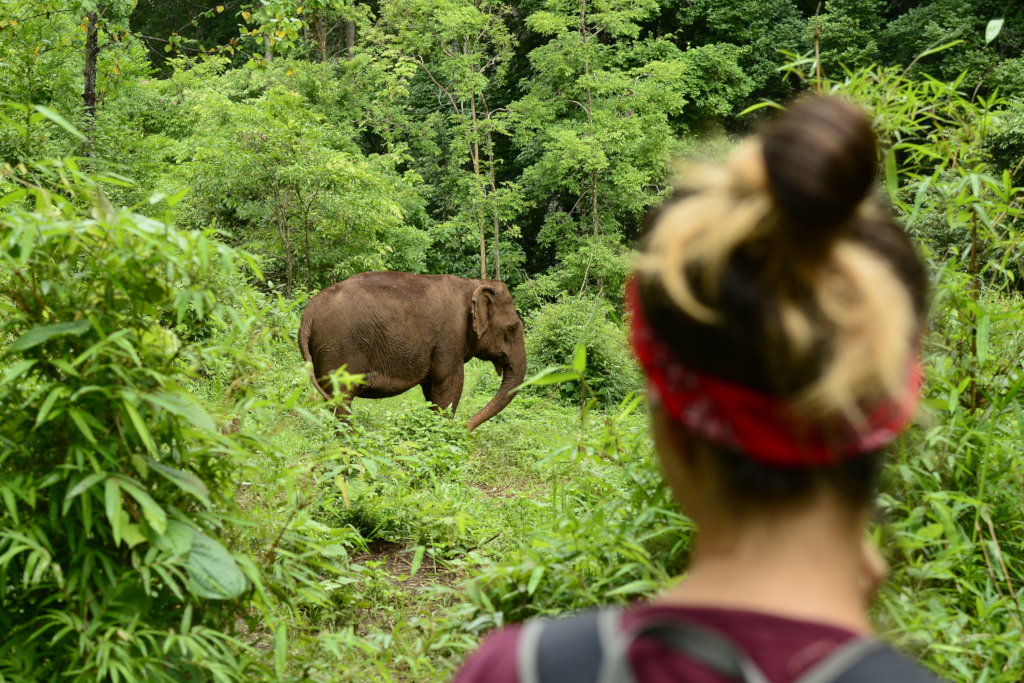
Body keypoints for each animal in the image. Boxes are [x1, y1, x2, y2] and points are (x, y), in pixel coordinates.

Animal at [297, 271, 527, 430]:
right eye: (512, 329)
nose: (466, 427)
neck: (472, 283)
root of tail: (307, 317)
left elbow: (431, 390)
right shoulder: (450, 339)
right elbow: (449, 384)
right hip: (339, 349)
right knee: (342, 399)